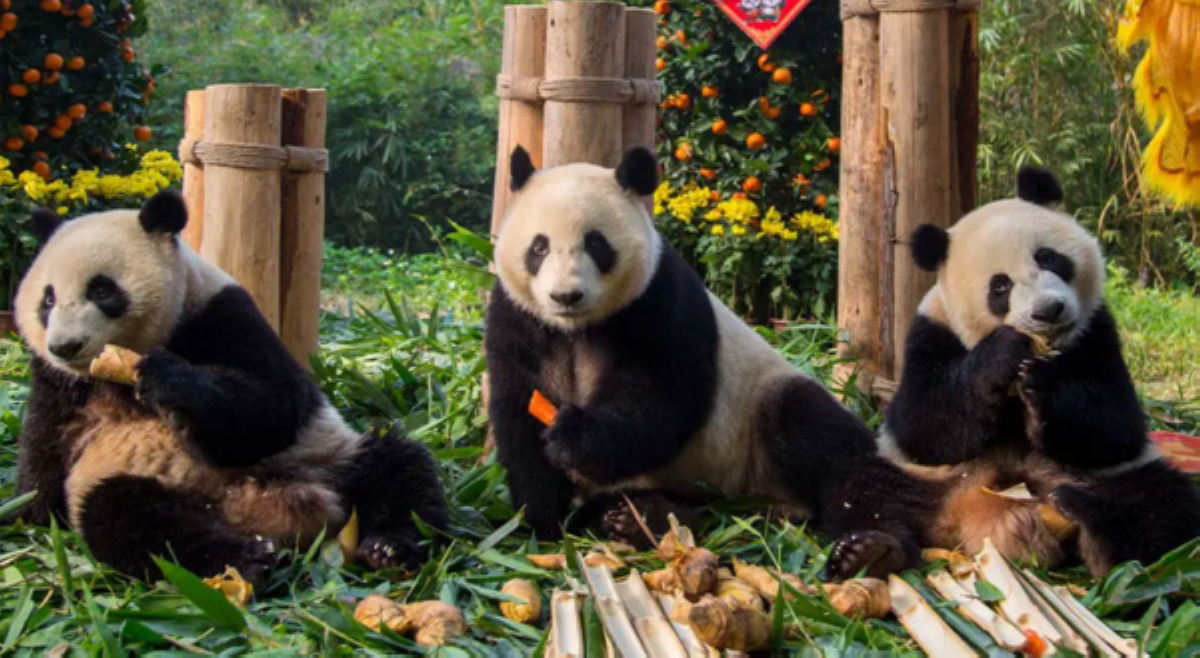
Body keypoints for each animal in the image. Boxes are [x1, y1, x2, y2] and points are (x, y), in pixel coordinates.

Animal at [13, 189, 449, 585]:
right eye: (48, 299)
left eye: (101, 290)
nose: (64, 346)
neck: (108, 375)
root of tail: (261, 509)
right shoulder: (56, 382)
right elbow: (44, 449)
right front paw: (31, 515)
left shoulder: (221, 313)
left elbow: (274, 410)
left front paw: (171, 383)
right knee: (130, 516)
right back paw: (242, 560)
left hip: (328, 460)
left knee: (396, 468)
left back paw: (388, 547)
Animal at [485, 145, 886, 543]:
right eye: (539, 247)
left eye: (596, 244)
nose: (565, 296)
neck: (576, 327)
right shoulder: (518, 318)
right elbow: (520, 410)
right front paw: (540, 519)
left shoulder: (657, 298)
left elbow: (664, 398)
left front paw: (573, 438)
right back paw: (645, 518)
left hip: (758, 409)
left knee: (821, 437)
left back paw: (867, 538)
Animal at [821, 167, 1200, 580]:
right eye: (999, 286)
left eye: (1048, 258)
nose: (1048, 310)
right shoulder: (929, 332)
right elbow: (923, 424)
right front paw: (1002, 356)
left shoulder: (1096, 331)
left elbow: (1116, 425)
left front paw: (1042, 390)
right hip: (925, 477)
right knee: (862, 489)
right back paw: (872, 551)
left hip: (1108, 478)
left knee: (1162, 503)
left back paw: (1097, 532)